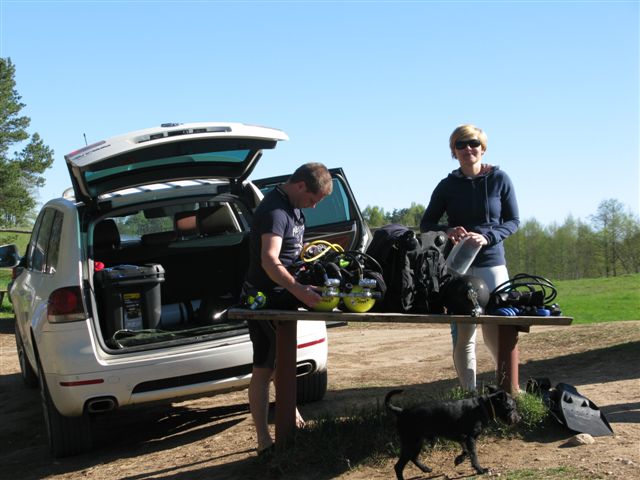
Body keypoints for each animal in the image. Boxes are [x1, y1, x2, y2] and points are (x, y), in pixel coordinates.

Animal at [384, 388, 520, 478]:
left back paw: (426, 469)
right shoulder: (470, 438)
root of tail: (402, 412)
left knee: (413, 457)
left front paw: (458, 459)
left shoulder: (462, 438)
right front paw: (480, 470)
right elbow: (473, 454)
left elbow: (466, 452)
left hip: (417, 442)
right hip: (412, 442)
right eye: (512, 407)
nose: (519, 418)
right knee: (399, 466)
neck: (484, 407)